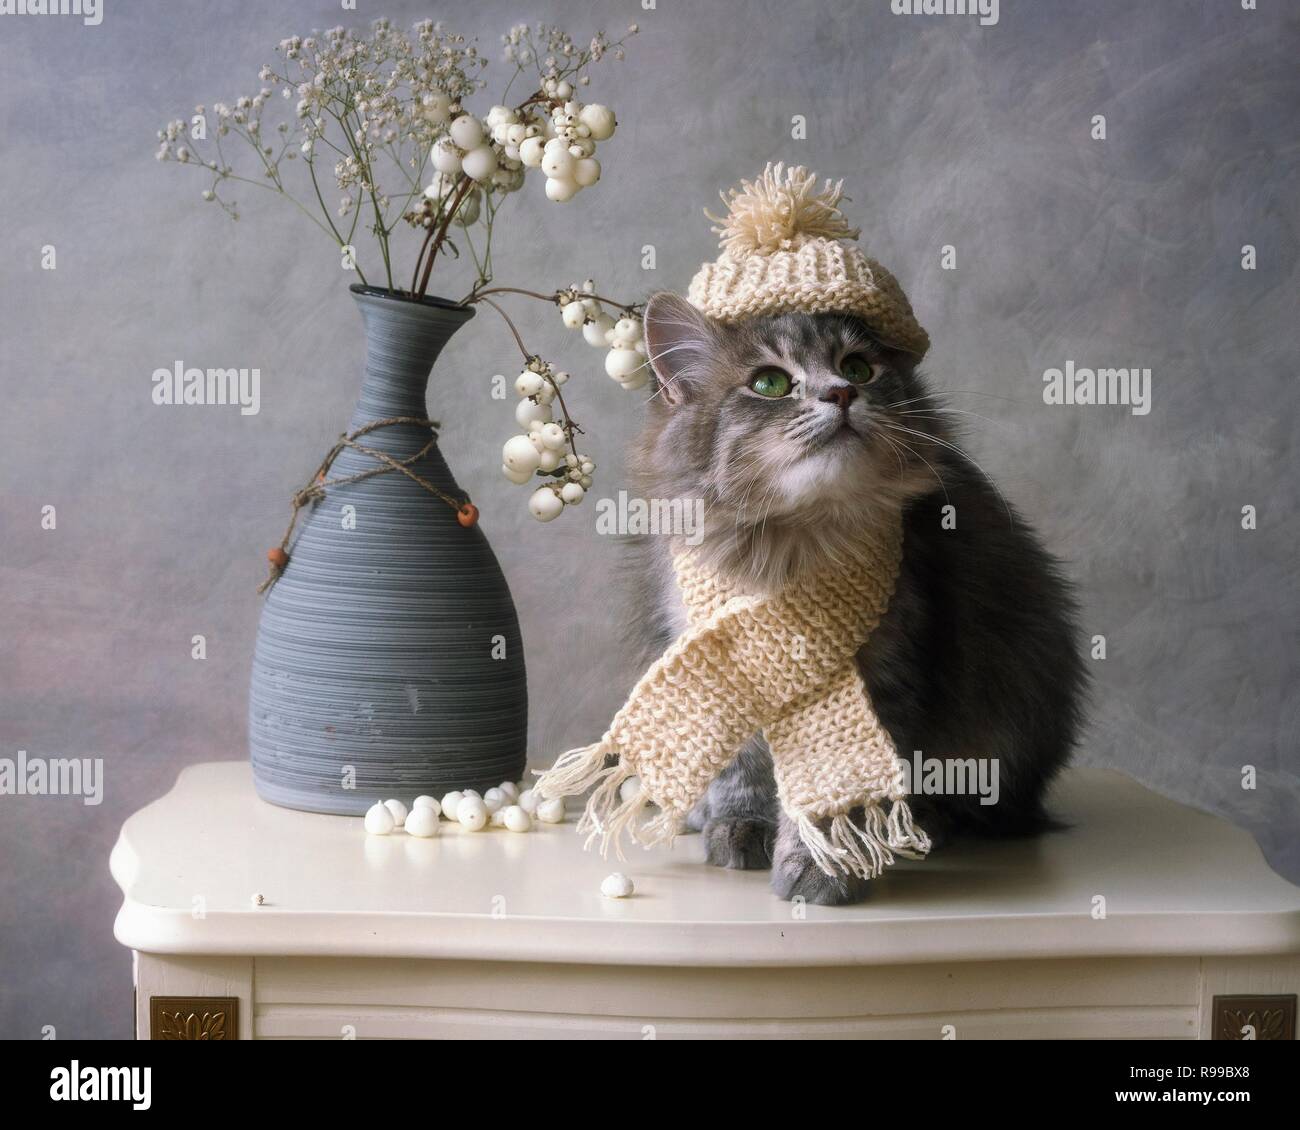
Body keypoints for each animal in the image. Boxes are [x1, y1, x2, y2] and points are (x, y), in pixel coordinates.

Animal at [621, 292, 1086, 910]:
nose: (841, 393)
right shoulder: (721, 663)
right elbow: (742, 771)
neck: (785, 548)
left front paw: (825, 868)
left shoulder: (886, 671)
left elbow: (837, 793)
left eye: (859, 368)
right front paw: (740, 828)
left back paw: (924, 828)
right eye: (770, 383)